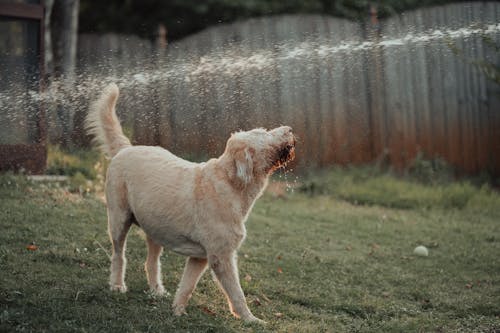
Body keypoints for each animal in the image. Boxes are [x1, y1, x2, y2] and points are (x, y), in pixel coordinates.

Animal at [86, 83, 296, 322]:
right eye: (263, 133)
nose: (290, 128)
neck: (230, 183)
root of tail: (126, 148)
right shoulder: (220, 257)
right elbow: (236, 293)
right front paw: (250, 319)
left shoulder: (199, 258)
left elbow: (187, 286)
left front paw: (177, 310)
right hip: (119, 220)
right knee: (118, 255)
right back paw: (117, 285)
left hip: (155, 229)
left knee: (151, 262)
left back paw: (156, 290)